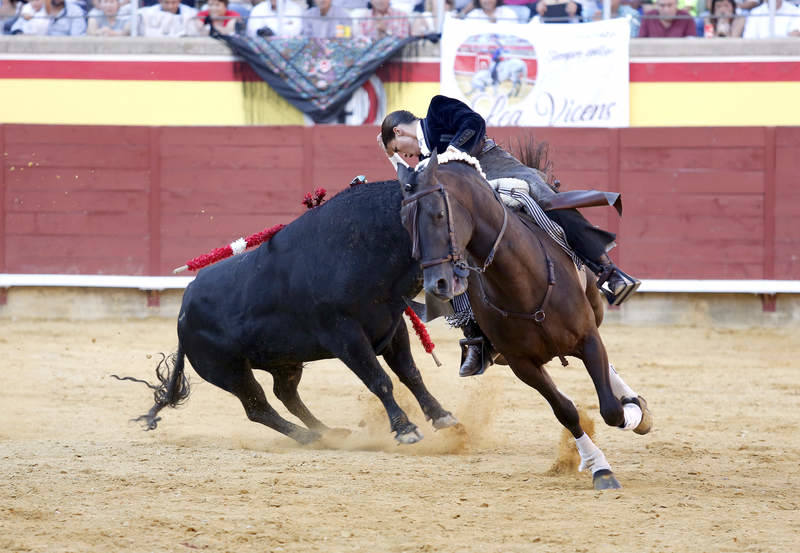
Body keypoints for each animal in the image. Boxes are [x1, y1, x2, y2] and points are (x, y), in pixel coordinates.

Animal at [120, 180, 456, 444]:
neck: (361, 247)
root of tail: (183, 309)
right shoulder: (345, 336)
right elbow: (380, 379)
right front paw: (406, 429)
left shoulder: (392, 325)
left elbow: (410, 373)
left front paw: (443, 416)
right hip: (228, 370)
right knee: (258, 406)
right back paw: (310, 438)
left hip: (284, 360)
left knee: (286, 395)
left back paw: (327, 432)